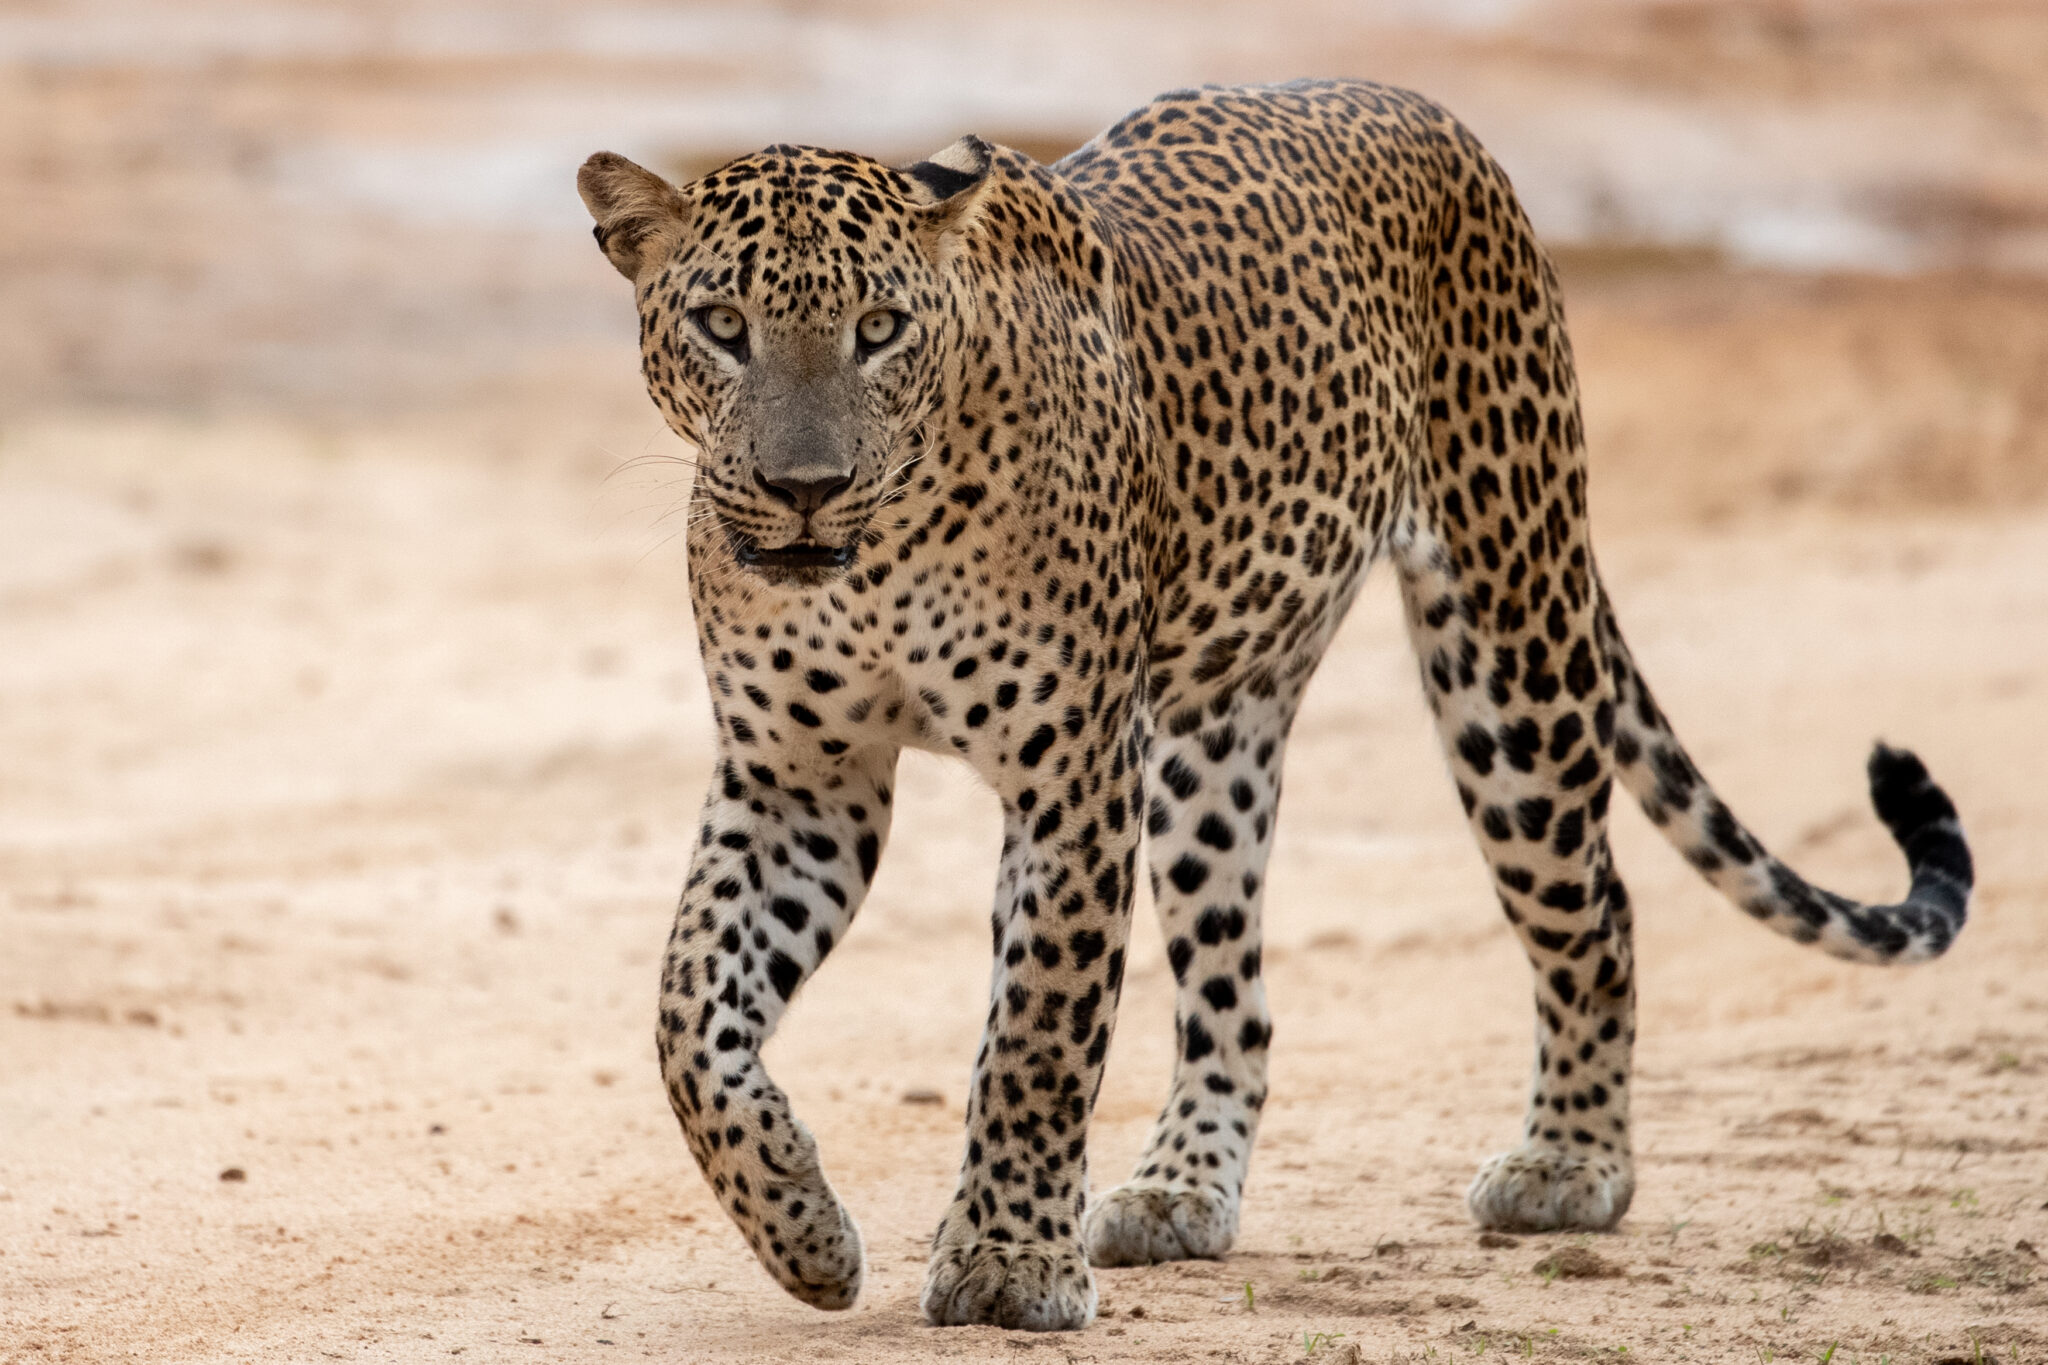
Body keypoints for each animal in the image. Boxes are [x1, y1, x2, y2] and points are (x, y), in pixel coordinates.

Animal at [573, 77, 1966, 1334]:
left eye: (876, 328)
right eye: (721, 323)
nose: (803, 487)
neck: (877, 554)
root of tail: (1427, 116)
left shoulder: (1072, 777)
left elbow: (1036, 1032)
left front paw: (1009, 1263)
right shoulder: (799, 782)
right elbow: (688, 1017)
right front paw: (803, 1231)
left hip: (1509, 650)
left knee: (1595, 912)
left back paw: (1569, 1165)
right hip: (1213, 754)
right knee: (1235, 996)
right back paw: (1179, 1189)